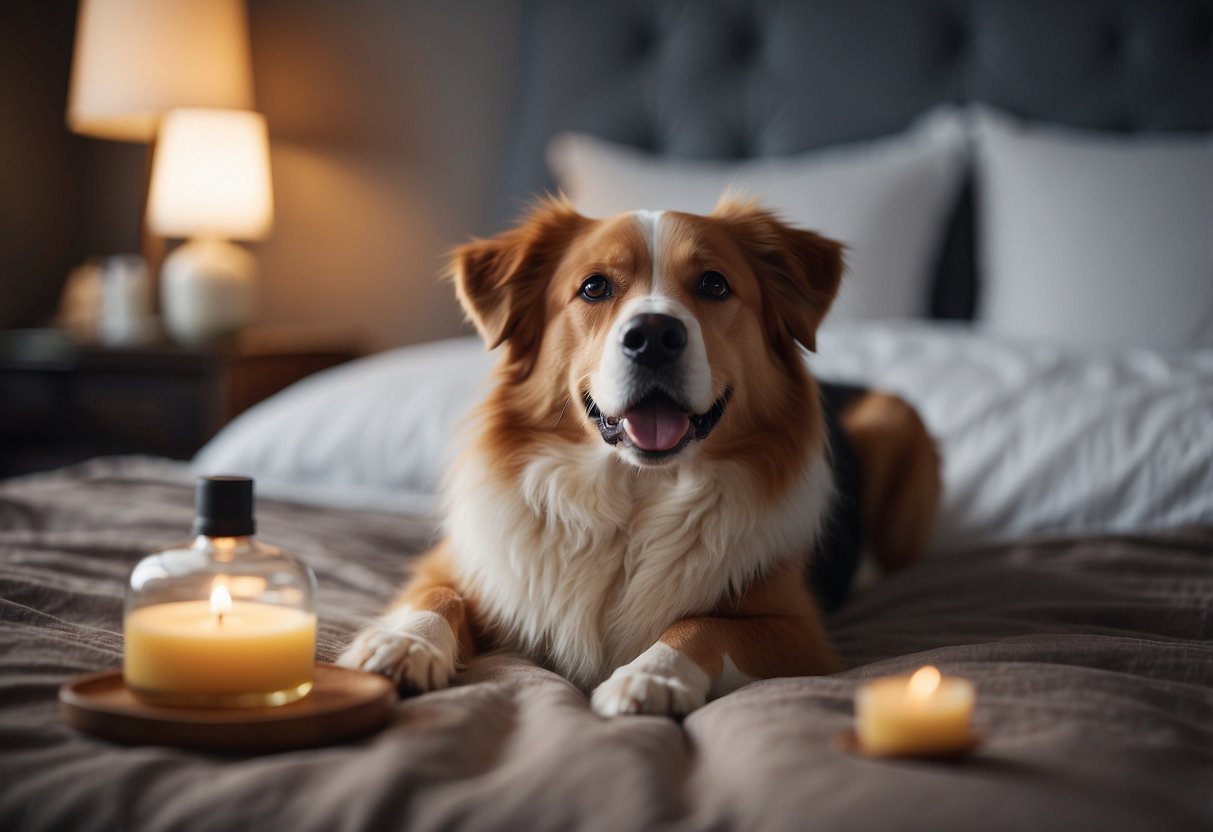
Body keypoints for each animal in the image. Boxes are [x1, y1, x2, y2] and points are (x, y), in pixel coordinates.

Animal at [337, 195, 941, 717]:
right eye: (594, 286)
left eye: (714, 284)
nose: (653, 335)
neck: (631, 498)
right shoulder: (462, 564)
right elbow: (438, 595)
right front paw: (404, 643)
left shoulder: (797, 631)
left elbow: (705, 625)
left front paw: (652, 674)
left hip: (893, 418)